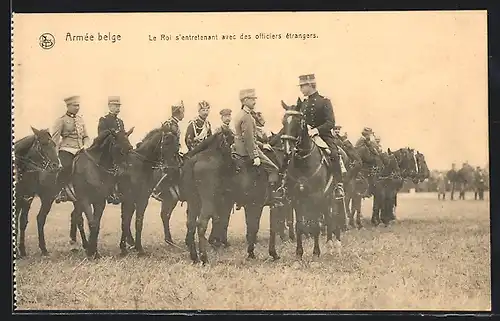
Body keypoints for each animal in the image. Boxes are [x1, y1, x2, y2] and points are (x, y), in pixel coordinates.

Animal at [14, 127, 61, 255]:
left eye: (54, 144)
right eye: (43, 144)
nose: (57, 166)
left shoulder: (26, 198)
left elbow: (22, 222)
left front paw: (22, 250)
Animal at [70, 127, 134, 258]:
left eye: (131, 148)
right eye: (119, 149)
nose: (127, 174)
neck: (93, 170)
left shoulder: (99, 202)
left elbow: (97, 224)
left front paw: (94, 251)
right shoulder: (85, 200)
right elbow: (92, 224)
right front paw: (92, 252)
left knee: (76, 217)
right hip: (78, 202)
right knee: (78, 219)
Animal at [118, 124, 181, 255]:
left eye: (178, 144)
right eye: (166, 142)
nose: (173, 169)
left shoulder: (142, 199)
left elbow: (138, 221)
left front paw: (138, 248)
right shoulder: (130, 199)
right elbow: (126, 221)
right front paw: (125, 248)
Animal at [280, 99, 342, 258]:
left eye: (298, 121)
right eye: (283, 121)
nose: (287, 150)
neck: (303, 161)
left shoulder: (316, 196)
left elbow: (315, 225)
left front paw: (315, 253)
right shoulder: (296, 198)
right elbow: (299, 225)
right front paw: (299, 253)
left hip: (331, 197)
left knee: (332, 218)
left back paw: (334, 246)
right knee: (327, 218)